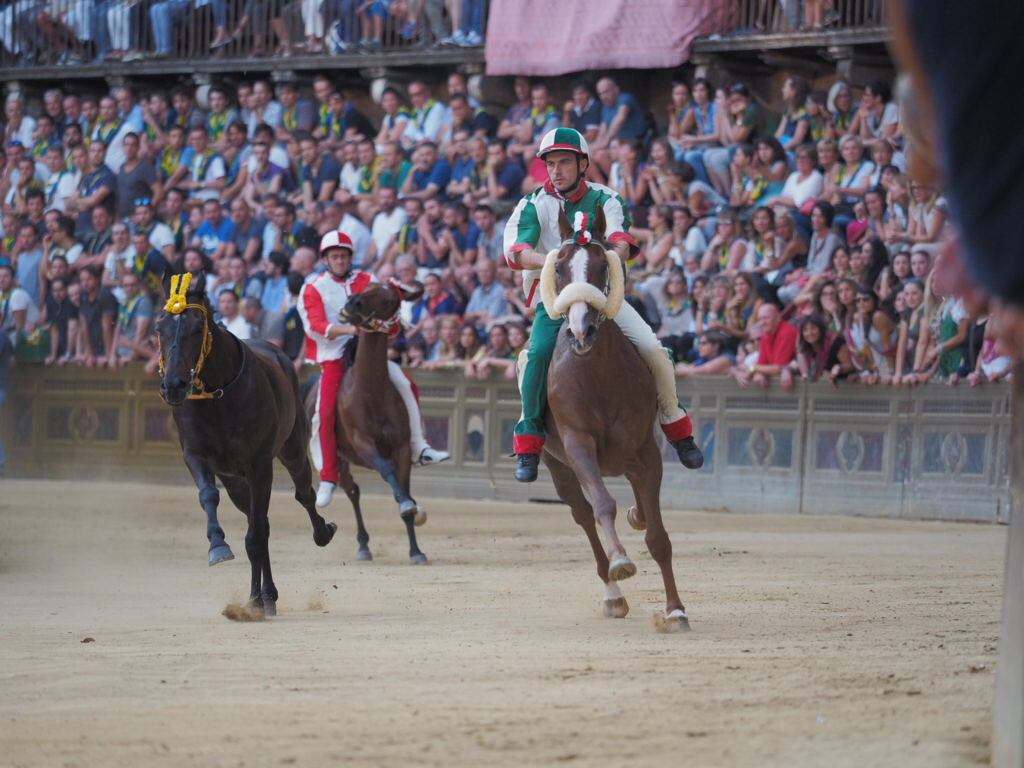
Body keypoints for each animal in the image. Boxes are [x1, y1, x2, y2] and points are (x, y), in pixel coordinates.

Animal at [155, 272, 337, 618]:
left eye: (197, 327)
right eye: (160, 328)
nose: (174, 385)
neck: (217, 395)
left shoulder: (259, 463)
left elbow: (256, 534)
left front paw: (253, 601)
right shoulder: (197, 455)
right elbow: (209, 495)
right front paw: (218, 545)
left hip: (292, 447)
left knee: (301, 494)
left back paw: (318, 537)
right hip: (236, 481)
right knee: (256, 517)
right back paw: (267, 594)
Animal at [303, 280, 432, 561]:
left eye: (390, 300)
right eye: (370, 285)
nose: (353, 304)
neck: (370, 391)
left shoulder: (402, 449)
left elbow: (403, 488)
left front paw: (416, 548)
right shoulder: (363, 445)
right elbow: (388, 473)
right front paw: (408, 506)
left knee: (355, 490)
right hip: (340, 460)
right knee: (352, 490)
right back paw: (362, 544)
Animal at [536, 208, 688, 630]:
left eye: (604, 266)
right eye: (559, 269)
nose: (581, 330)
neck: (598, 375)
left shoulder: (647, 452)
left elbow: (659, 538)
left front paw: (676, 610)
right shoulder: (576, 446)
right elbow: (603, 506)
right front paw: (621, 561)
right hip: (556, 466)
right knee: (584, 515)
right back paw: (613, 594)